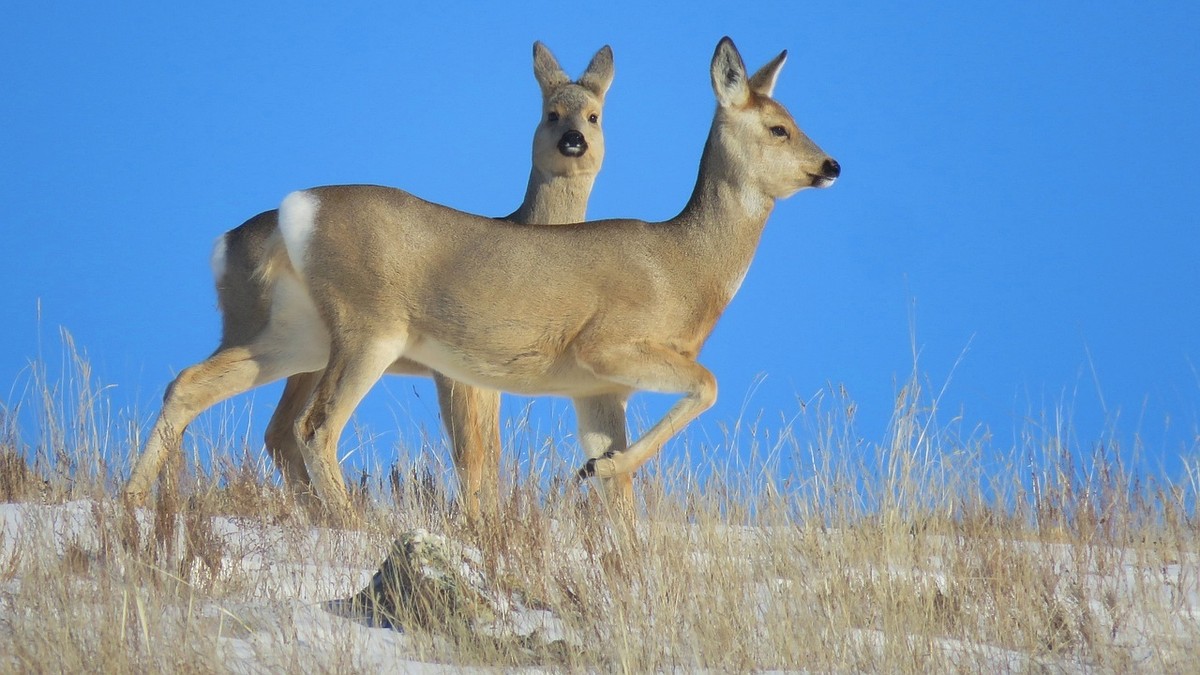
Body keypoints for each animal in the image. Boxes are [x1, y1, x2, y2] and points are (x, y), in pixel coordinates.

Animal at [124, 42, 619, 514]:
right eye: (550, 113)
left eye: (594, 115)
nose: (573, 140)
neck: (529, 226)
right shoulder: (456, 368)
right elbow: (472, 453)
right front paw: (480, 524)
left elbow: (488, 452)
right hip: (362, 329)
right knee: (308, 426)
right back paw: (351, 520)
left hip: (289, 338)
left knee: (204, 391)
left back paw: (134, 500)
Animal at [264, 36, 840, 521]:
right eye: (779, 127)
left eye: (794, 118)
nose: (832, 165)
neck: (682, 268)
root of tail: (299, 207)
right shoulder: (604, 344)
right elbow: (709, 384)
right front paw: (596, 467)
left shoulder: (599, 390)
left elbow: (622, 503)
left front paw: (609, 500)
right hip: (370, 329)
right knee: (313, 427)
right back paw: (354, 523)